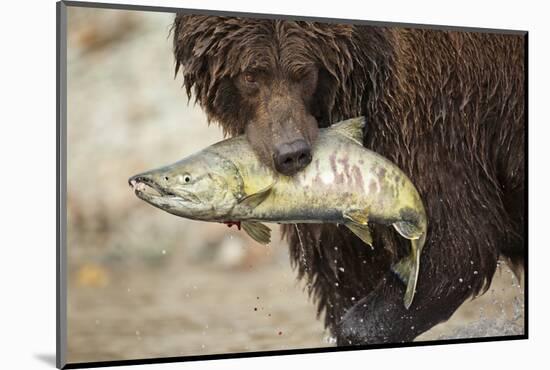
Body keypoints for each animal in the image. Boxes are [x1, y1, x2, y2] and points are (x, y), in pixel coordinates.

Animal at [175, 14, 528, 344]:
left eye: (304, 72)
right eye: (250, 75)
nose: (292, 153)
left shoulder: (430, 123)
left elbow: (457, 248)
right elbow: (343, 270)